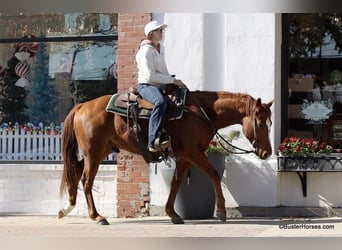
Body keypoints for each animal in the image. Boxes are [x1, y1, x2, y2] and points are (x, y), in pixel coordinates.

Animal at [58, 91, 272, 226]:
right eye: (261, 123)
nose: (267, 153)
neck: (201, 112)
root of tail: (83, 105)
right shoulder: (193, 152)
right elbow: (214, 174)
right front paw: (221, 212)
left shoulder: (185, 156)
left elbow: (176, 183)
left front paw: (173, 213)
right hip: (93, 152)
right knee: (86, 180)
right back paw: (97, 216)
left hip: (101, 150)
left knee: (75, 172)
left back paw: (67, 208)